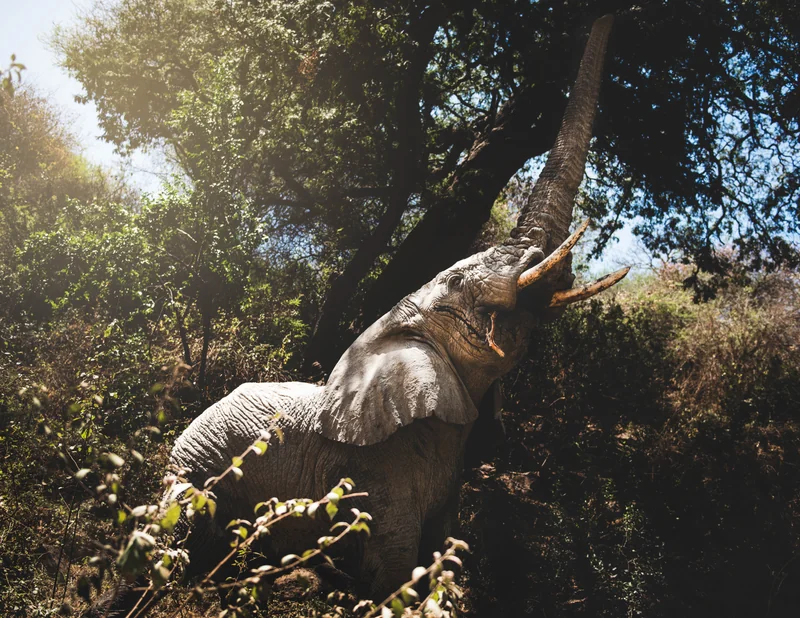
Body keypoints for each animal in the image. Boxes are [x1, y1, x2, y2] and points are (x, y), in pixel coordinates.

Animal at [91, 14, 625, 615]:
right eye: (458, 284)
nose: (607, 17)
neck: (394, 328)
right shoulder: (374, 469)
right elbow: (394, 570)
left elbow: (440, 551)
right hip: (198, 466)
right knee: (170, 543)